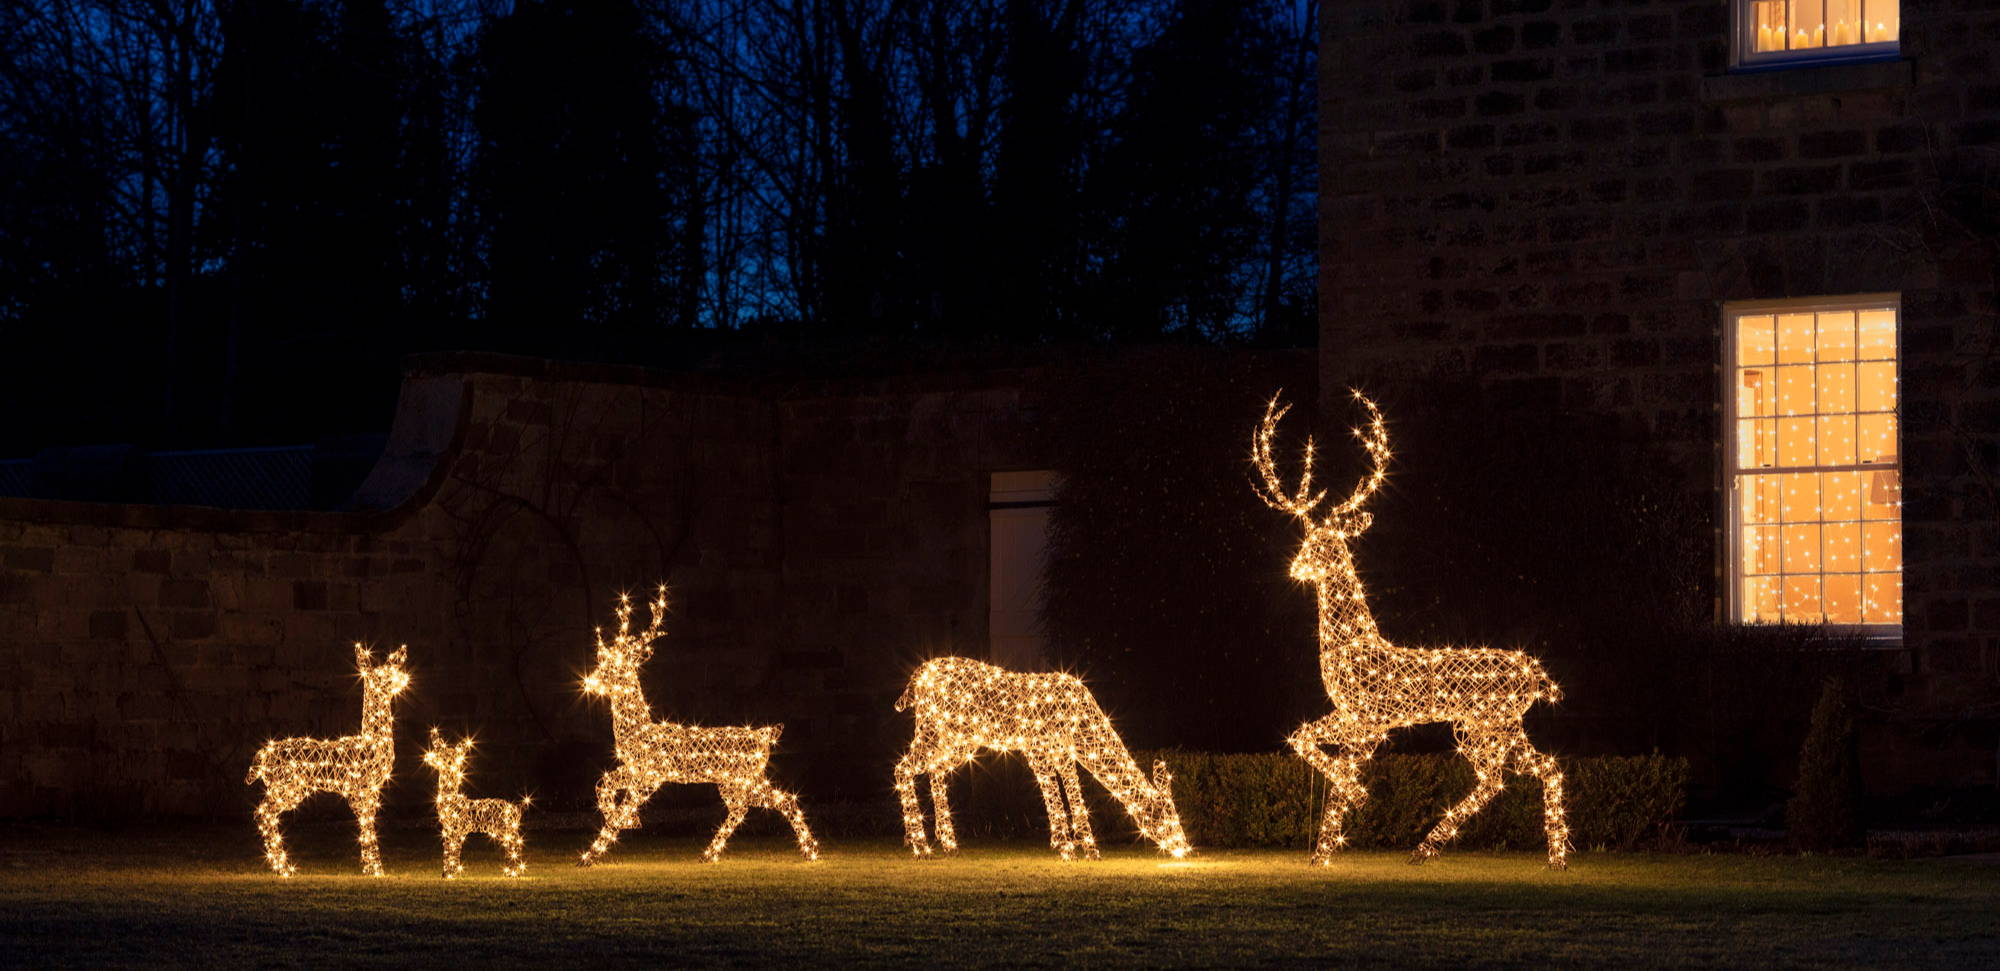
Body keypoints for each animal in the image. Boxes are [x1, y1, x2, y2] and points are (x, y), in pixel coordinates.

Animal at [246, 643, 410, 879]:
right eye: (382, 675)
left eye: (393, 670)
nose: (403, 679)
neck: (372, 743)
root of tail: (262, 756)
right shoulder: (361, 789)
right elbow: (367, 824)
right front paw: (377, 869)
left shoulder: (367, 791)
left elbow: (365, 823)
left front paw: (368, 867)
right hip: (288, 786)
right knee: (263, 813)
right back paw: (284, 868)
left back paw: (280, 867)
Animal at [422, 727, 532, 879]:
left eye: (442, 755)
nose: (428, 757)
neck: (450, 798)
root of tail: (517, 809)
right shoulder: (448, 829)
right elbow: (449, 850)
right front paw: (447, 873)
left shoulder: (456, 829)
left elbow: (453, 850)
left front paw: (450, 874)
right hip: (507, 829)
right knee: (513, 845)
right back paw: (511, 872)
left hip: (506, 828)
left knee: (514, 845)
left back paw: (514, 873)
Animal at [576, 587, 824, 867]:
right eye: (603, 663)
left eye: (618, 668)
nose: (590, 681)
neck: (637, 729)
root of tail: (766, 735)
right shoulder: (634, 769)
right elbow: (602, 783)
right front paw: (630, 822)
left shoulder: (651, 774)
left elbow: (620, 807)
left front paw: (595, 850)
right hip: (742, 779)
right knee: (762, 804)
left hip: (742, 777)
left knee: (766, 803)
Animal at [892, 655, 1184, 859]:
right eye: (1165, 817)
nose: (1182, 847)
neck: (1081, 722)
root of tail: (918, 677)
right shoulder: (1039, 748)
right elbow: (1054, 791)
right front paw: (1068, 847)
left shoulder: (1060, 752)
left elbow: (1070, 790)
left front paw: (1083, 847)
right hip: (940, 731)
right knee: (904, 767)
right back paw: (919, 844)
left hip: (957, 739)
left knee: (934, 769)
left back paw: (946, 842)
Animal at [1256, 391, 1568, 867]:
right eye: (1307, 541)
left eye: (1327, 545)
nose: (1296, 569)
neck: (1353, 642)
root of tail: (1535, 673)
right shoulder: (1351, 716)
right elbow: (1299, 735)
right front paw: (1322, 849)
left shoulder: (1369, 720)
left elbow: (1331, 764)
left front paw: (1344, 819)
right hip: (1492, 726)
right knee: (1528, 770)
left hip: (1488, 723)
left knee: (1513, 774)